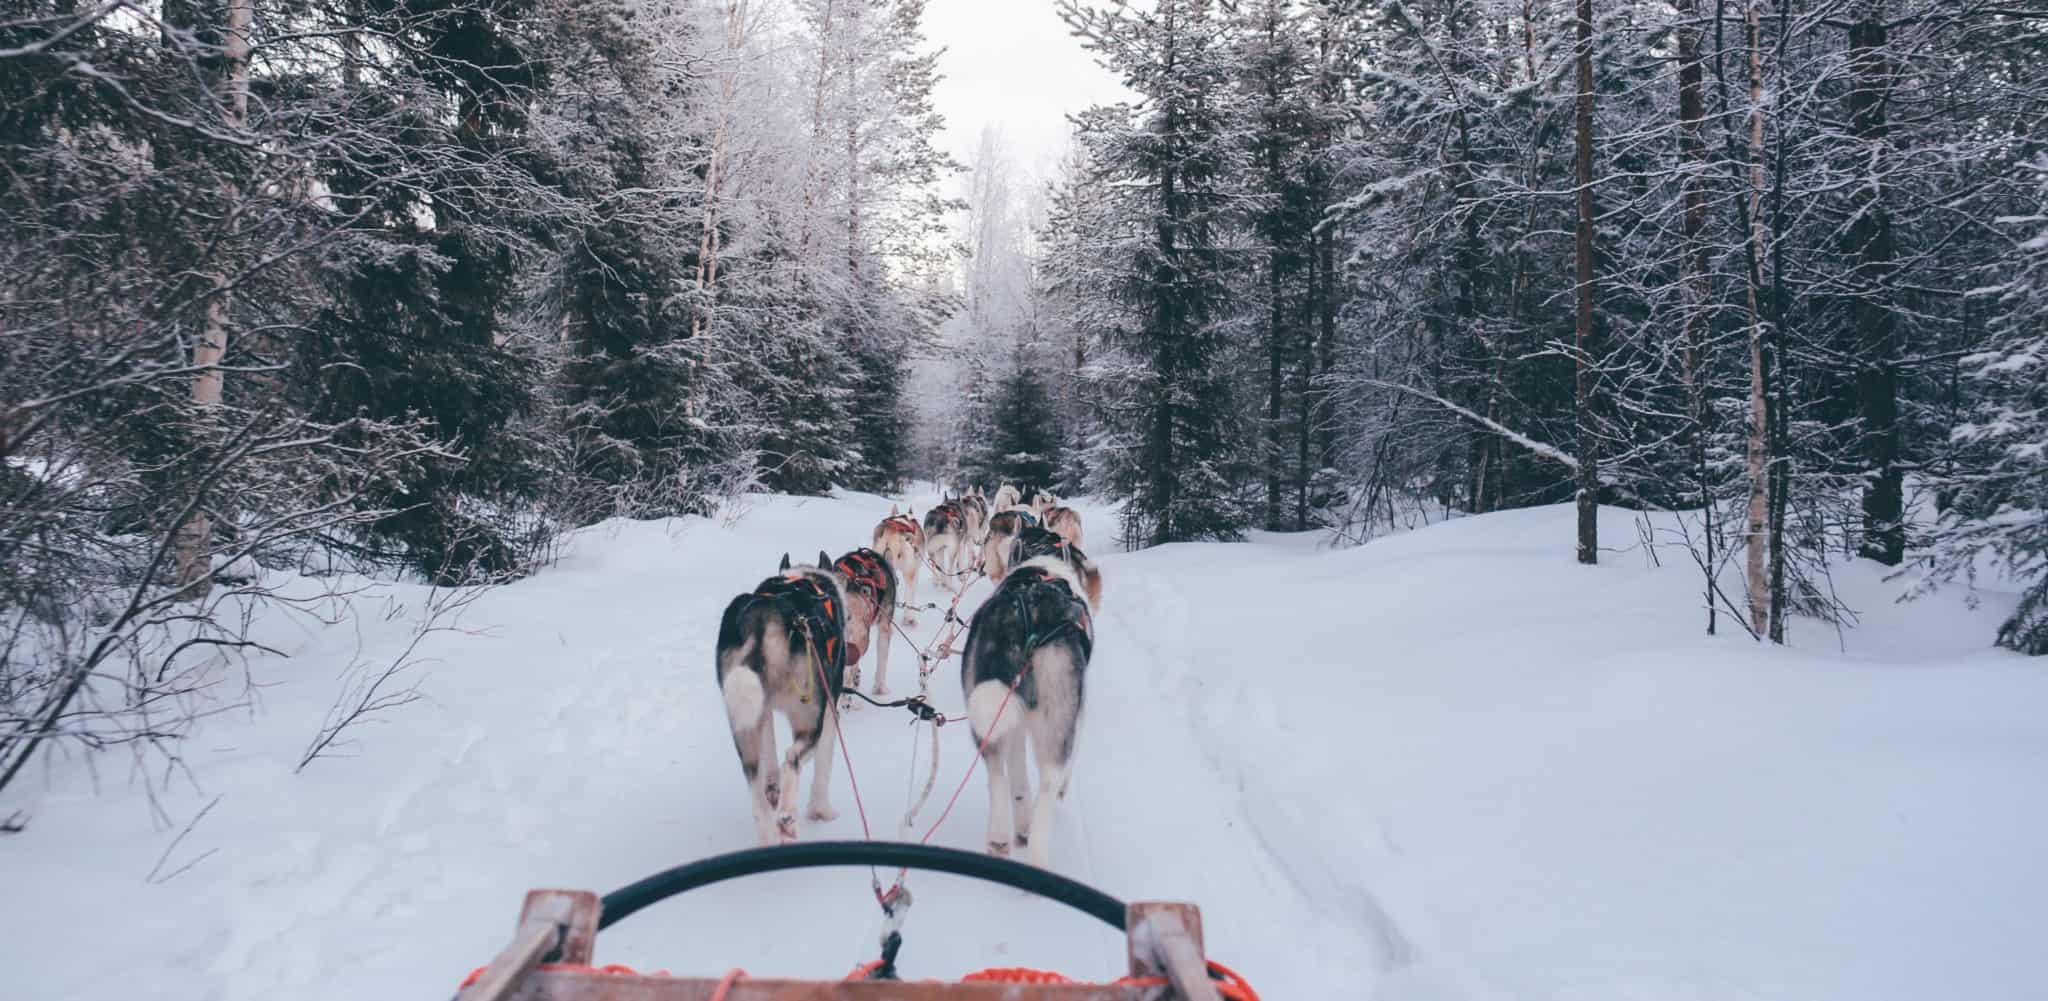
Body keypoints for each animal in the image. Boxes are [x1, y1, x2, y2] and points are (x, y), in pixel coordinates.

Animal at [720, 552, 847, 843]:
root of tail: (763, 615)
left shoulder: (763, 710)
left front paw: (773, 787)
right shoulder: (829, 709)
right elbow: (822, 764)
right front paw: (822, 810)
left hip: (744, 726)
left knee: (758, 797)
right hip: (808, 715)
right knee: (792, 758)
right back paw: (787, 816)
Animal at [962, 544, 1105, 867]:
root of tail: (1023, 618)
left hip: (990, 714)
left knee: (1001, 778)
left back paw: (1002, 835)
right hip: (1059, 724)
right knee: (1048, 786)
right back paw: (1037, 853)